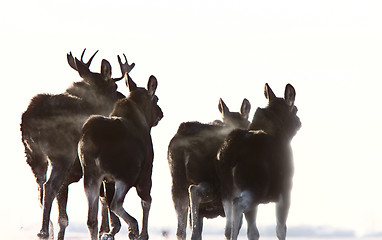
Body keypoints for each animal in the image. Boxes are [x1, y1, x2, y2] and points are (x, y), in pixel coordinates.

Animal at [78, 73, 162, 240]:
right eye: (156, 99)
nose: (161, 113)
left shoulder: (107, 180)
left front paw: (111, 231)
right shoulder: (145, 174)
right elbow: (146, 201)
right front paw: (143, 234)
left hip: (91, 176)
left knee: (92, 219)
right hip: (125, 175)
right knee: (116, 203)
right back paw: (134, 226)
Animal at [218, 83, 302, 240]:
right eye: (295, 109)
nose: (299, 122)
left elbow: (253, 232)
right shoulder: (285, 190)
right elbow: (281, 229)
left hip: (226, 190)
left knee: (228, 225)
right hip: (256, 187)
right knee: (237, 204)